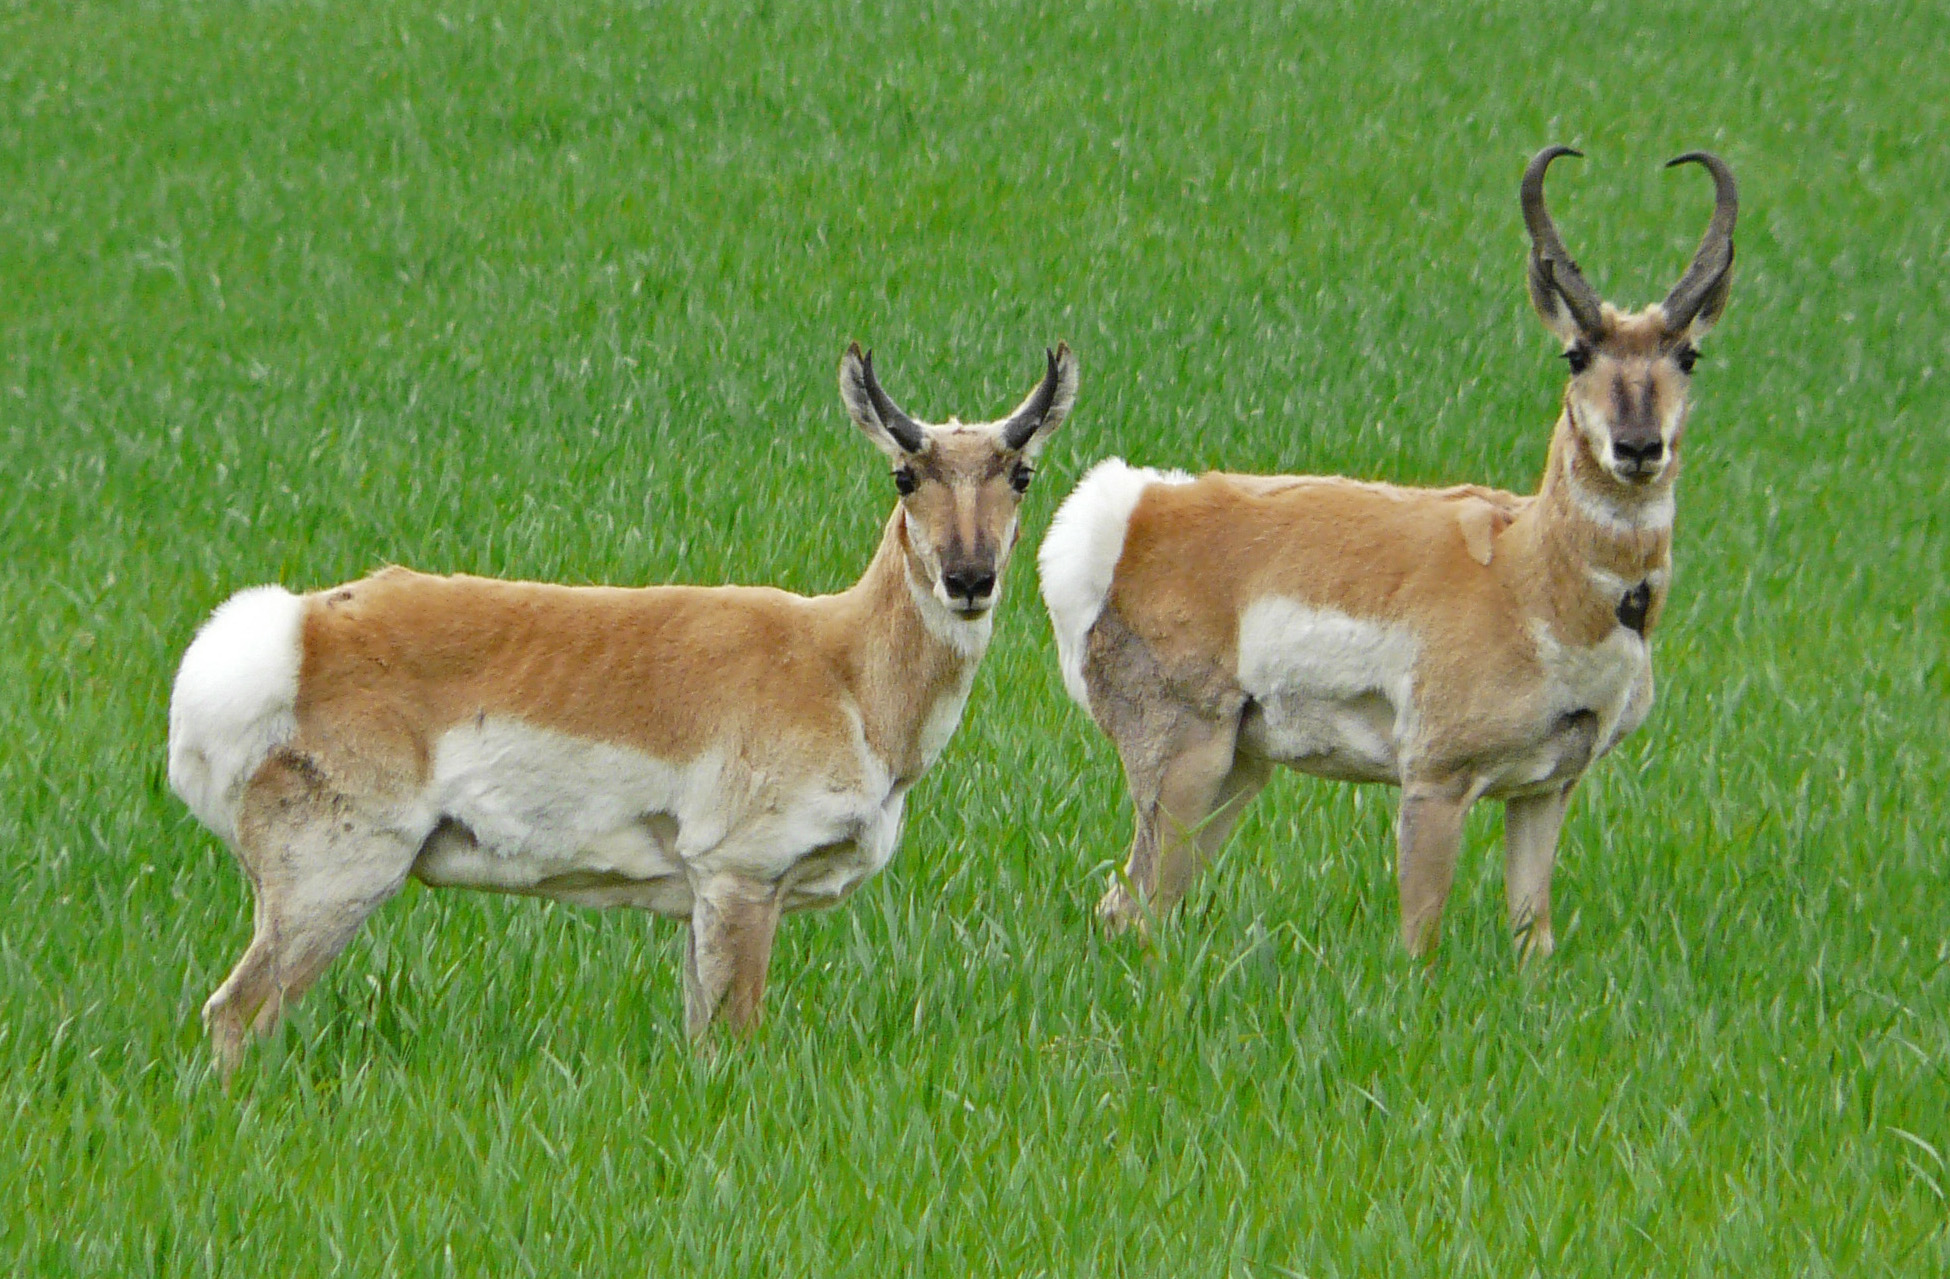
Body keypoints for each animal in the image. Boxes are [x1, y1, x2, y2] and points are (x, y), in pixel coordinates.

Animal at [163, 343, 1084, 1068]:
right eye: (904, 474)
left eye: (1022, 473)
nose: (970, 578)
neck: (841, 662)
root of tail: (296, 632)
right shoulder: (742, 881)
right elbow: (735, 1043)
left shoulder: (702, 901)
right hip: (336, 881)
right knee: (235, 1011)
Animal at [1045, 147, 1747, 959]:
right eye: (1576, 354)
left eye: (1689, 354)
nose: (1638, 447)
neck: (1530, 574)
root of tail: (1138, 509)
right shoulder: (1435, 784)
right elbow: (1421, 940)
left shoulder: (1545, 790)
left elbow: (1531, 939)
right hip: (1188, 763)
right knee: (1135, 906)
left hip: (1240, 771)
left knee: (1132, 905)